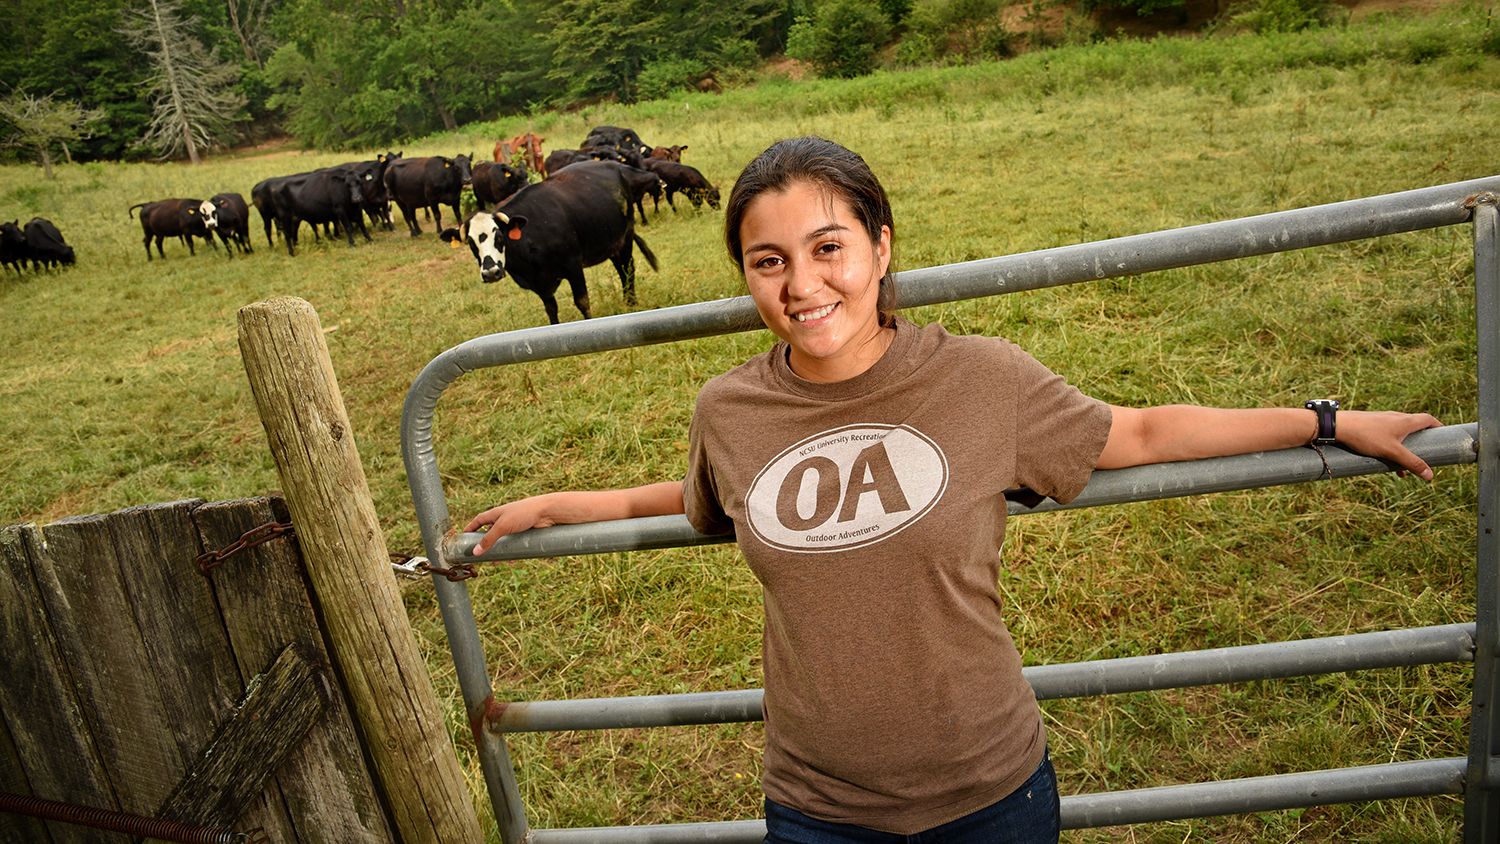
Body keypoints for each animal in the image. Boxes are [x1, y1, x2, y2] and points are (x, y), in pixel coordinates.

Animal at [438, 160, 663, 325]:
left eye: (499, 236)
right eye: (470, 243)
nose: (491, 272)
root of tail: (615, 166)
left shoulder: (573, 265)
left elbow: (582, 301)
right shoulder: (539, 283)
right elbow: (550, 308)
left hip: (625, 238)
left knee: (628, 270)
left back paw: (631, 303)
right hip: (611, 244)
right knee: (621, 270)